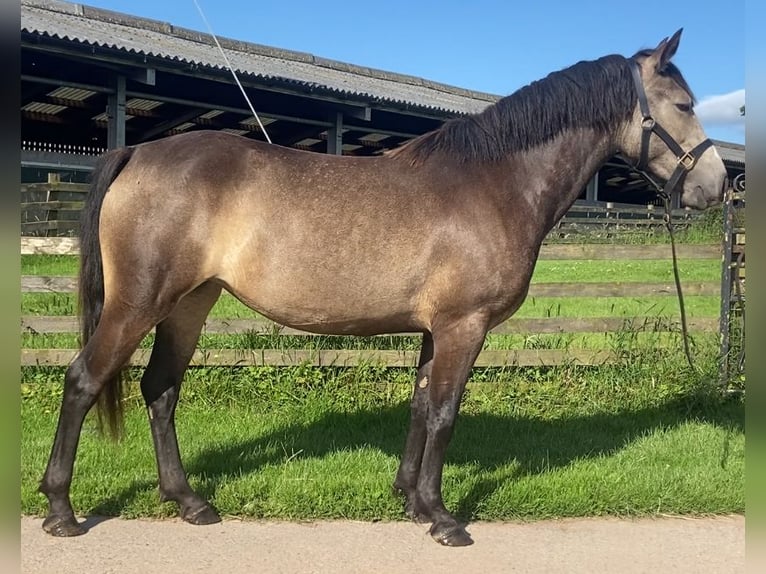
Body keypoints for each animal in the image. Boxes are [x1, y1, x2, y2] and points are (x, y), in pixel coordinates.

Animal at [39, 29, 726, 546]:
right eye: (685, 106)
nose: (717, 186)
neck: (493, 183)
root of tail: (139, 152)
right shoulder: (464, 326)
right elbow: (445, 411)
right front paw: (445, 520)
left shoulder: (436, 330)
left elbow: (422, 407)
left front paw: (413, 502)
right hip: (137, 304)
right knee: (83, 381)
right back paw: (62, 510)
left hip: (188, 305)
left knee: (160, 391)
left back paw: (189, 502)